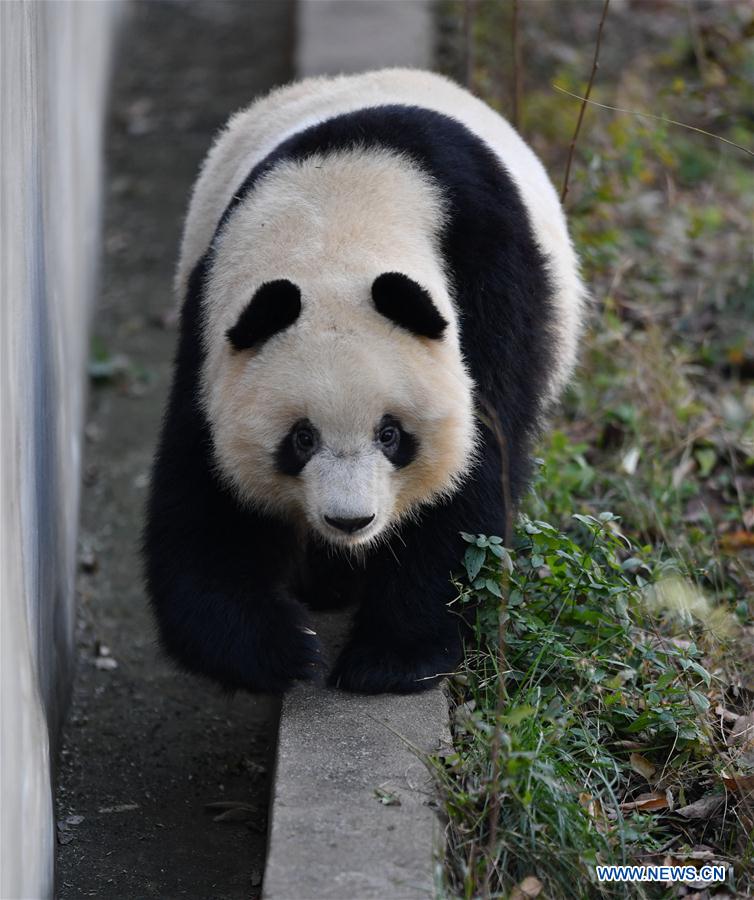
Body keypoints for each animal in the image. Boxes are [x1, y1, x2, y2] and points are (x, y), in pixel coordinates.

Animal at [144, 67, 584, 696]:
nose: (350, 520)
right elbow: (207, 497)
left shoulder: (490, 278)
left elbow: (475, 469)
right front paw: (282, 650)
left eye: (390, 434)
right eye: (301, 438)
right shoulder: (212, 326)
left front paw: (393, 656)